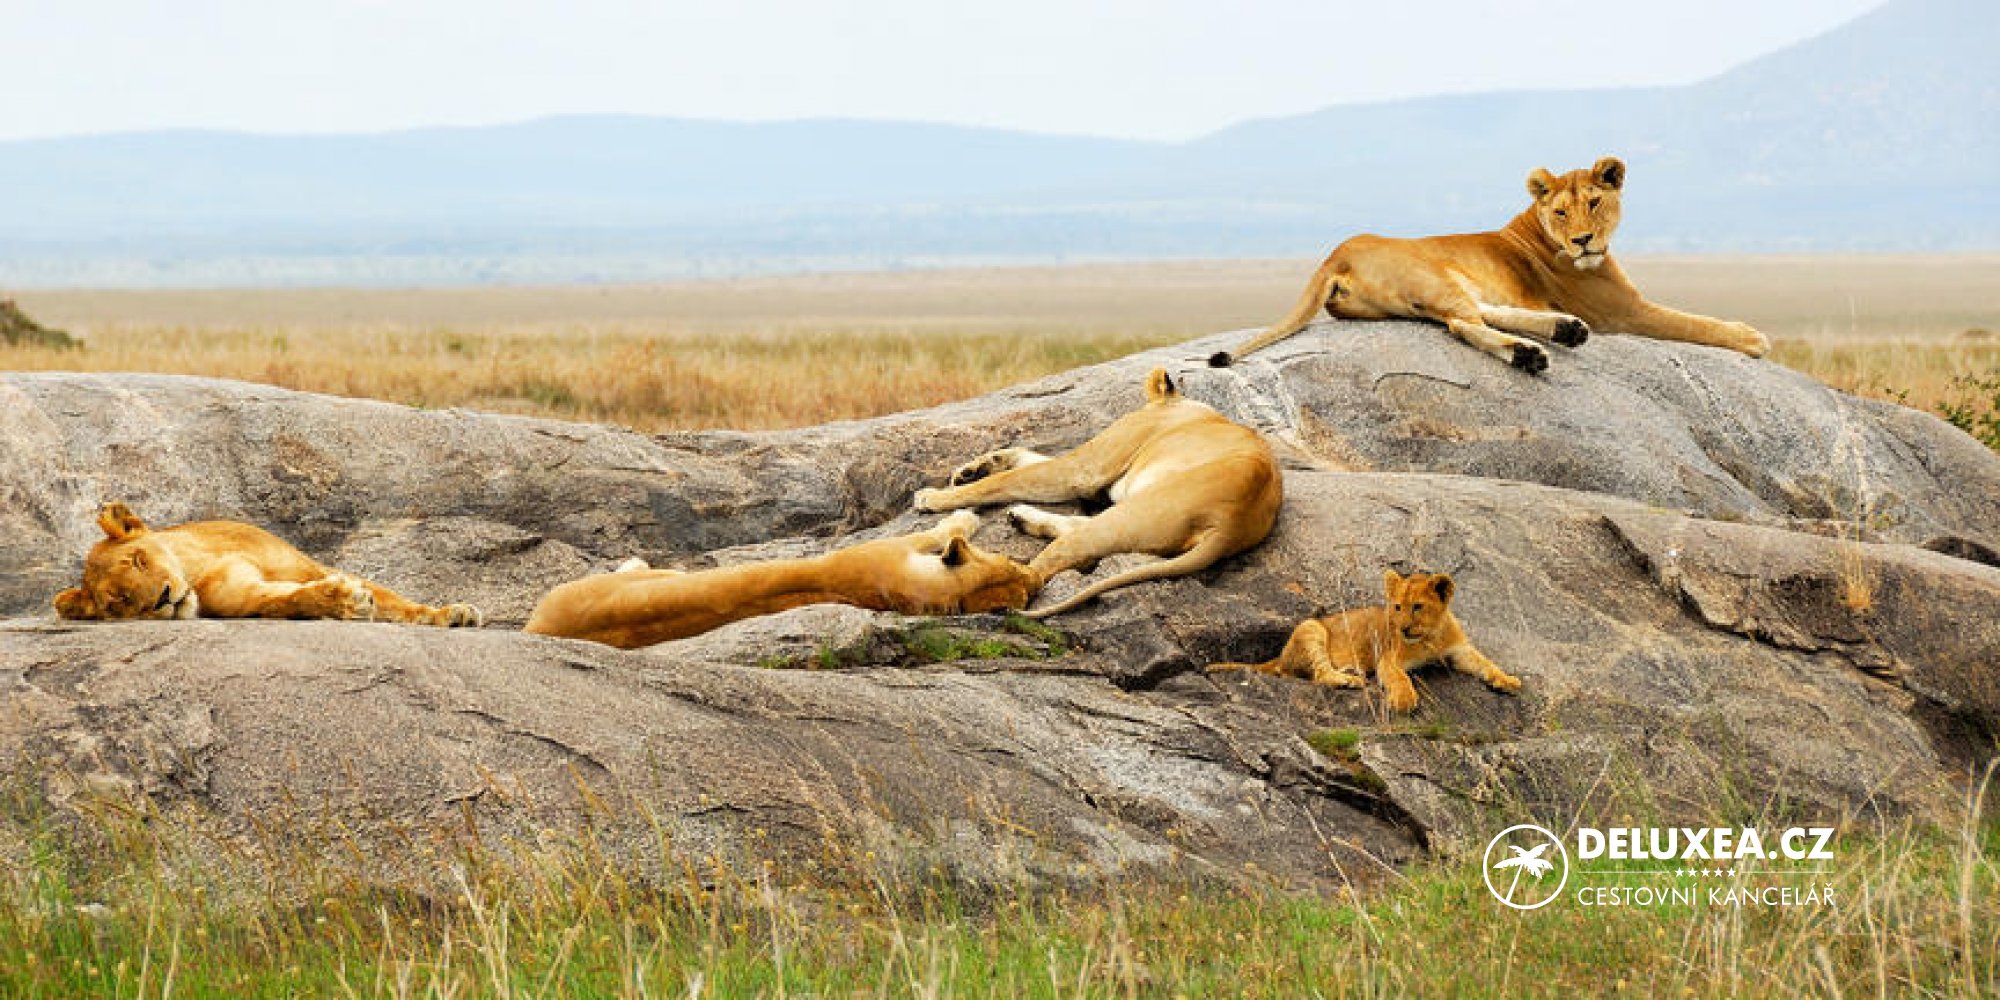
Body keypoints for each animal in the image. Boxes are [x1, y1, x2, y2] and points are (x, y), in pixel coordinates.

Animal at [53, 502, 483, 626]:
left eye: (139, 560)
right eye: (119, 602)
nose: (163, 599)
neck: (198, 566)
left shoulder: (310, 567)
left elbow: (397, 603)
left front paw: (451, 613)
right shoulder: (243, 596)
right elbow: (287, 600)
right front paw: (344, 601)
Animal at [523, 511, 1037, 649]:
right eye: (1010, 558)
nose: (1033, 576)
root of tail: (536, 627)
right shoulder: (887, 549)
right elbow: (939, 529)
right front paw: (966, 516)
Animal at [914, 367, 1281, 618]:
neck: (1179, 405)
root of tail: (1230, 526)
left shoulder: (1086, 469)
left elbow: (1010, 479)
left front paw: (933, 497)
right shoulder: (1097, 479)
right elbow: (1023, 459)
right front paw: (975, 467)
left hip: (1129, 515)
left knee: (1039, 573)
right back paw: (1020, 517)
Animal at [1209, 156, 1768, 373]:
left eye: (1593, 202)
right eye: (1561, 211)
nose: (1583, 240)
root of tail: (1334, 255)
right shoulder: (1623, 311)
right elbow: (1692, 322)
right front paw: (1752, 337)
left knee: (1479, 315)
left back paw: (1563, 331)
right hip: (1436, 278)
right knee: (1465, 324)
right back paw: (1530, 354)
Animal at [1209, 569, 1517, 713]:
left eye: (1417, 607)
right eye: (1396, 607)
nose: (1402, 628)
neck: (1431, 636)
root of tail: (1280, 655)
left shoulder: (1460, 651)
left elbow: (1486, 663)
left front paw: (1508, 680)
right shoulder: (1389, 658)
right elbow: (1399, 678)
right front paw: (1404, 700)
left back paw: (1349, 671)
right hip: (1312, 627)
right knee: (1316, 674)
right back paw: (1349, 679)